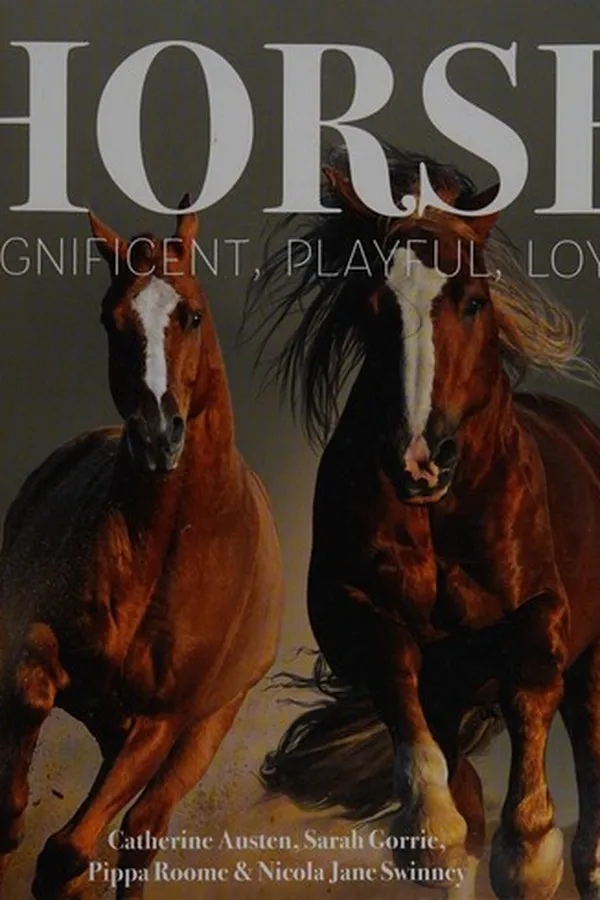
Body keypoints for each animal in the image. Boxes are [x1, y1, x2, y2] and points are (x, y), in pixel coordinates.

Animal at [0, 201, 283, 900]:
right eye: (112, 319)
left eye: (192, 314)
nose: (158, 437)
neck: (164, 550)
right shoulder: (36, 637)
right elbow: (31, 692)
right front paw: (13, 817)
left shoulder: (164, 718)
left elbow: (69, 850)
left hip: (206, 727)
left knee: (142, 830)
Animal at [247, 145, 600, 900]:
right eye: (370, 307)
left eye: (472, 301)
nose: (418, 459)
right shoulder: (360, 615)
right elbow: (441, 822)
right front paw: (433, 830)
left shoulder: (542, 615)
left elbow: (532, 710)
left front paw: (531, 851)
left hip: (594, 666)